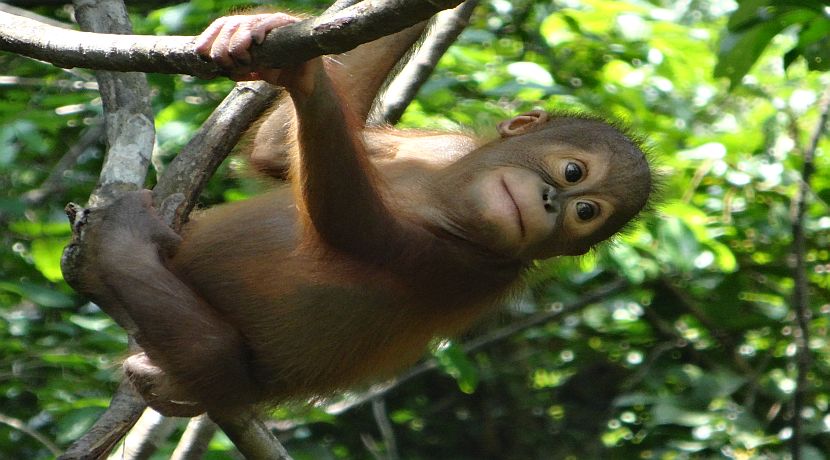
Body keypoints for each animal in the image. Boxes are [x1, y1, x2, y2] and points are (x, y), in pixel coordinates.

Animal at [63, 13, 653, 418]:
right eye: (573, 172)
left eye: (584, 212)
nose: (552, 203)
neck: (444, 194)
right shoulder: (435, 145)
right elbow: (277, 154)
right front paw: (267, 26)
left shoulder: (470, 267)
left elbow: (355, 229)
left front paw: (304, 72)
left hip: (216, 374)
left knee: (208, 350)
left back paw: (121, 246)